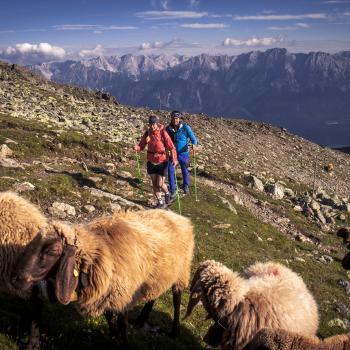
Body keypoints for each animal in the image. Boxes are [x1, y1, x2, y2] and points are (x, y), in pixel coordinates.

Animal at [10, 208, 194, 348]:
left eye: (52, 251)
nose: (15, 278)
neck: (100, 253)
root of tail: (177, 215)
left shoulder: (123, 296)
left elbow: (122, 324)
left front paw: (123, 343)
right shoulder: (108, 293)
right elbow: (109, 318)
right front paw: (113, 337)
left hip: (182, 271)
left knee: (177, 299)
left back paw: (175, 331)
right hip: (160, 276)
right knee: (153, 295)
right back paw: (142, 319)